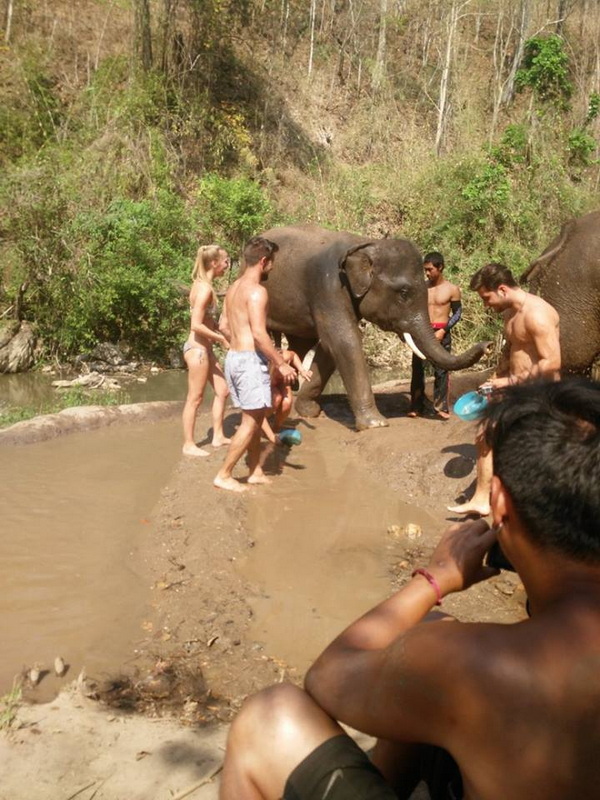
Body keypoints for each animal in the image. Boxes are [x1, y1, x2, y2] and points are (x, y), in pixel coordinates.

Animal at [258, 223, 492, 432]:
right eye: (404, 293)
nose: (488, 345)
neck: (363, 244)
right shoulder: (328, 287)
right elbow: (345, 340)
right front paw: (376, 424)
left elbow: (330, 346)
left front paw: (309, 411)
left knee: (299, 344)